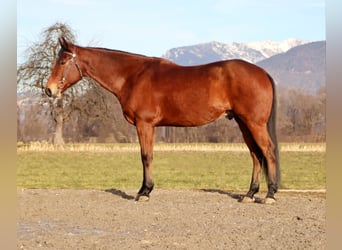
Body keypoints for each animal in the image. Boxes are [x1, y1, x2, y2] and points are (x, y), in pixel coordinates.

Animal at [44, 37, 280, 205]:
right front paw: (145, 190)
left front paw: (144, 192)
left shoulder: (145, 125)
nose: (49, 89)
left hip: (254, 123)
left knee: (267, 151)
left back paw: (270, 194)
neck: (133, 76)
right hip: (243, 123)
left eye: (63, 61)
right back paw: (249, 194)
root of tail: (262, 72)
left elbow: (146, 157)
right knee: (255, 155)